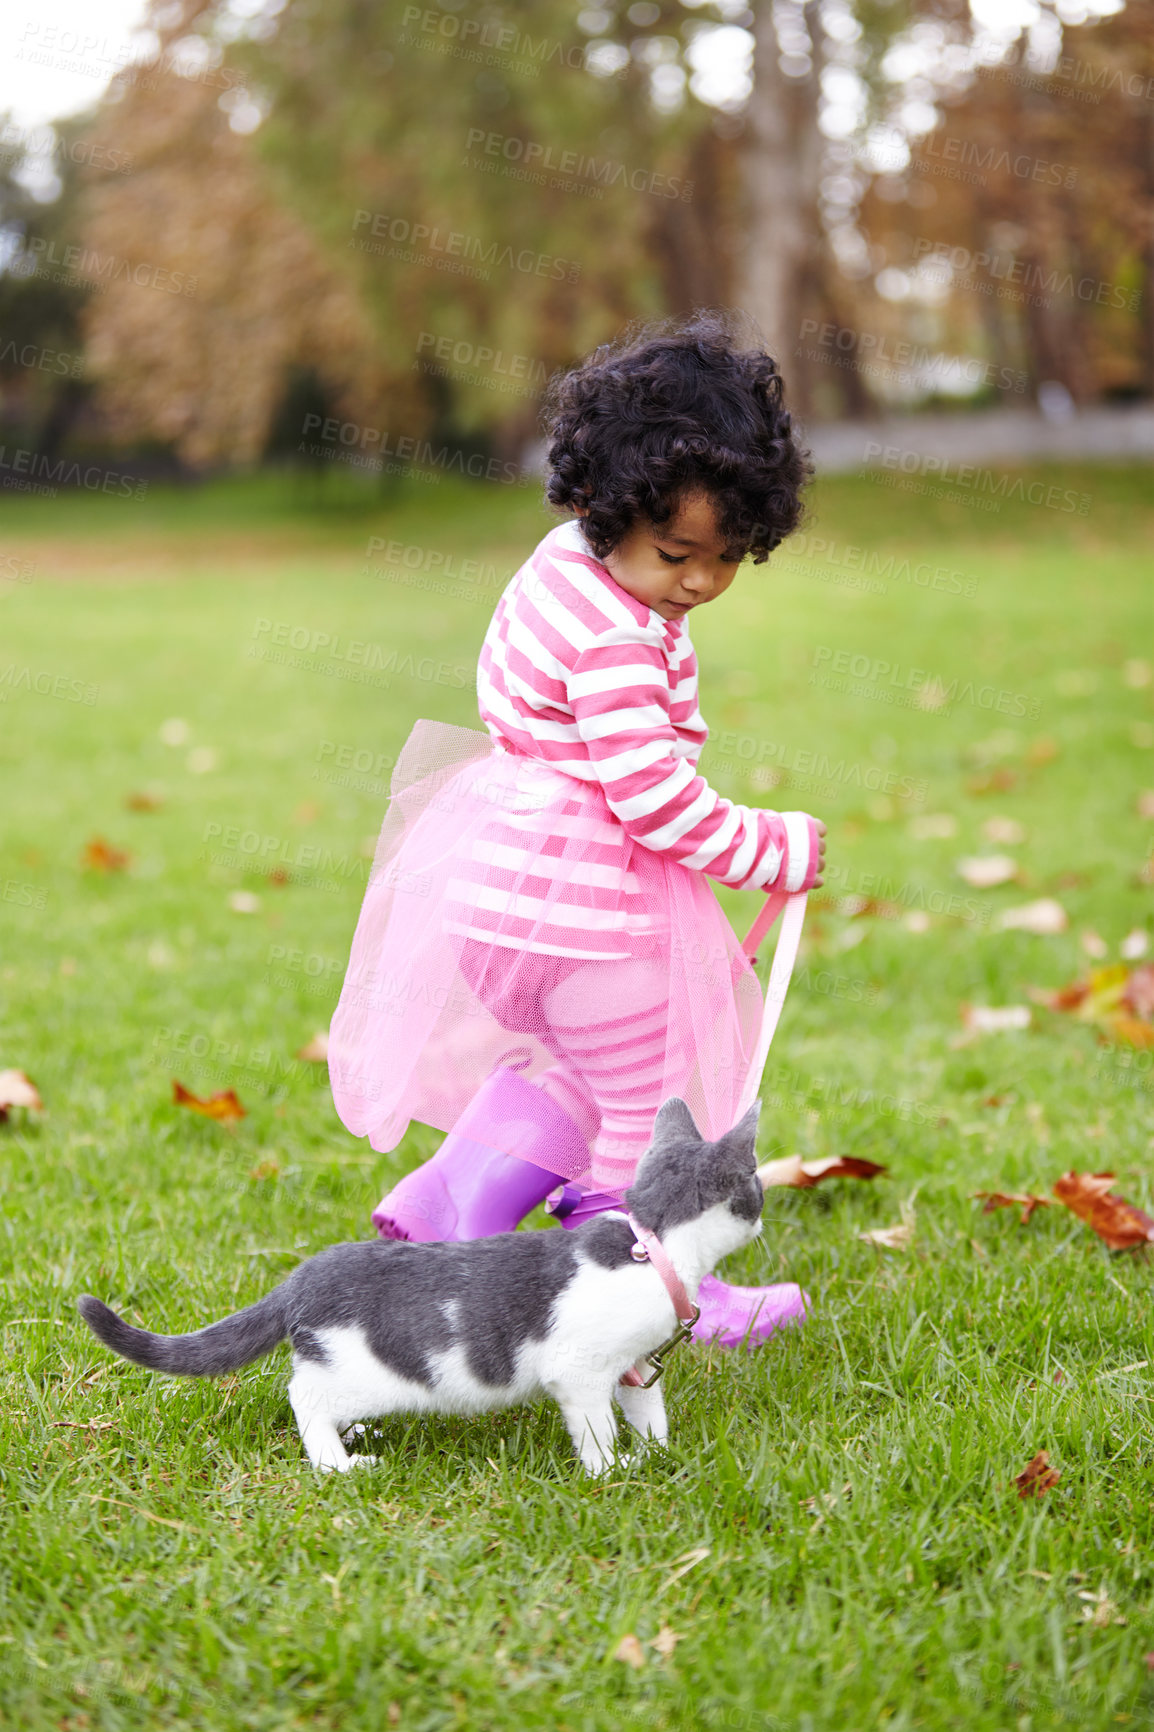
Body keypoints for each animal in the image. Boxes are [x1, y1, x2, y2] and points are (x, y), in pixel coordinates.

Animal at [76, 1101, 758, 1468]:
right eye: (754, 1185)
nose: (762, 1214)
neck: (652, 1243)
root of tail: (302, 1277)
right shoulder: (580, 1370)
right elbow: (593, 1424)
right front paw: (607, 1470)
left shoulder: (636, 1362)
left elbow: (647, 1408)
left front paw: (656, 1453)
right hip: (357, 1367)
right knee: (304, 1397)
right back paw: (337, 1463)